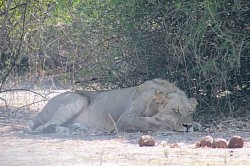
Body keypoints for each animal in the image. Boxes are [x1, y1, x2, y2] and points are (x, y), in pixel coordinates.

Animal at [26, 78, 199, 134]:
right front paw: (163, 123)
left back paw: (77, 127)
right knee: (41, 128)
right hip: (78, 98)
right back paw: (62, 130)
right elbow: (147, 122)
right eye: (175, 110)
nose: (188, 125)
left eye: (190, 112)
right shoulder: (125, 119)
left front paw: (196, 125)